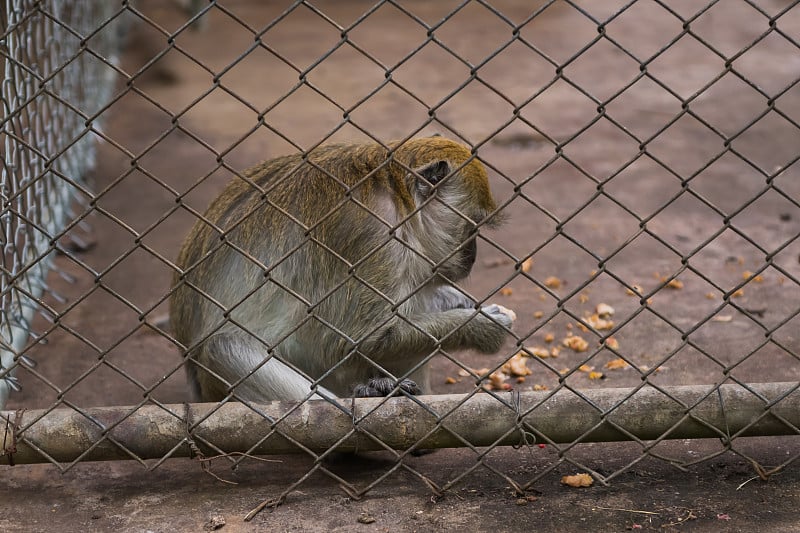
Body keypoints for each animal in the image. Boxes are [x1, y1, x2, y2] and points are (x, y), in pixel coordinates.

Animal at [171, 135, 516, 402]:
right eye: (472, 227)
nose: (473, 255)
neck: (397, 196)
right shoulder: (370, 235)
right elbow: (353, 341)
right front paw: (480, 326)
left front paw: (453, 300)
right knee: (223, 348)